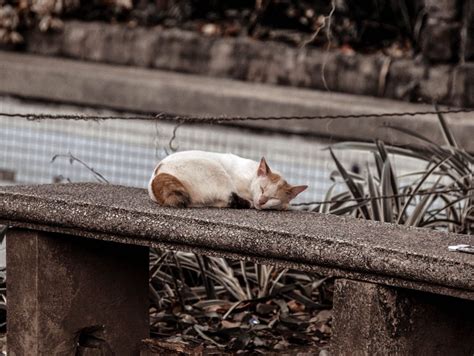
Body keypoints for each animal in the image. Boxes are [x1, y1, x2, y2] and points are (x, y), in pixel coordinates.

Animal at [148, 149, 308, 210]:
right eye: (262, 188)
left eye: (274, 198)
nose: (262, 201)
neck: (251, 176)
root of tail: (159, 173)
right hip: (217, 171)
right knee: (230, 198)